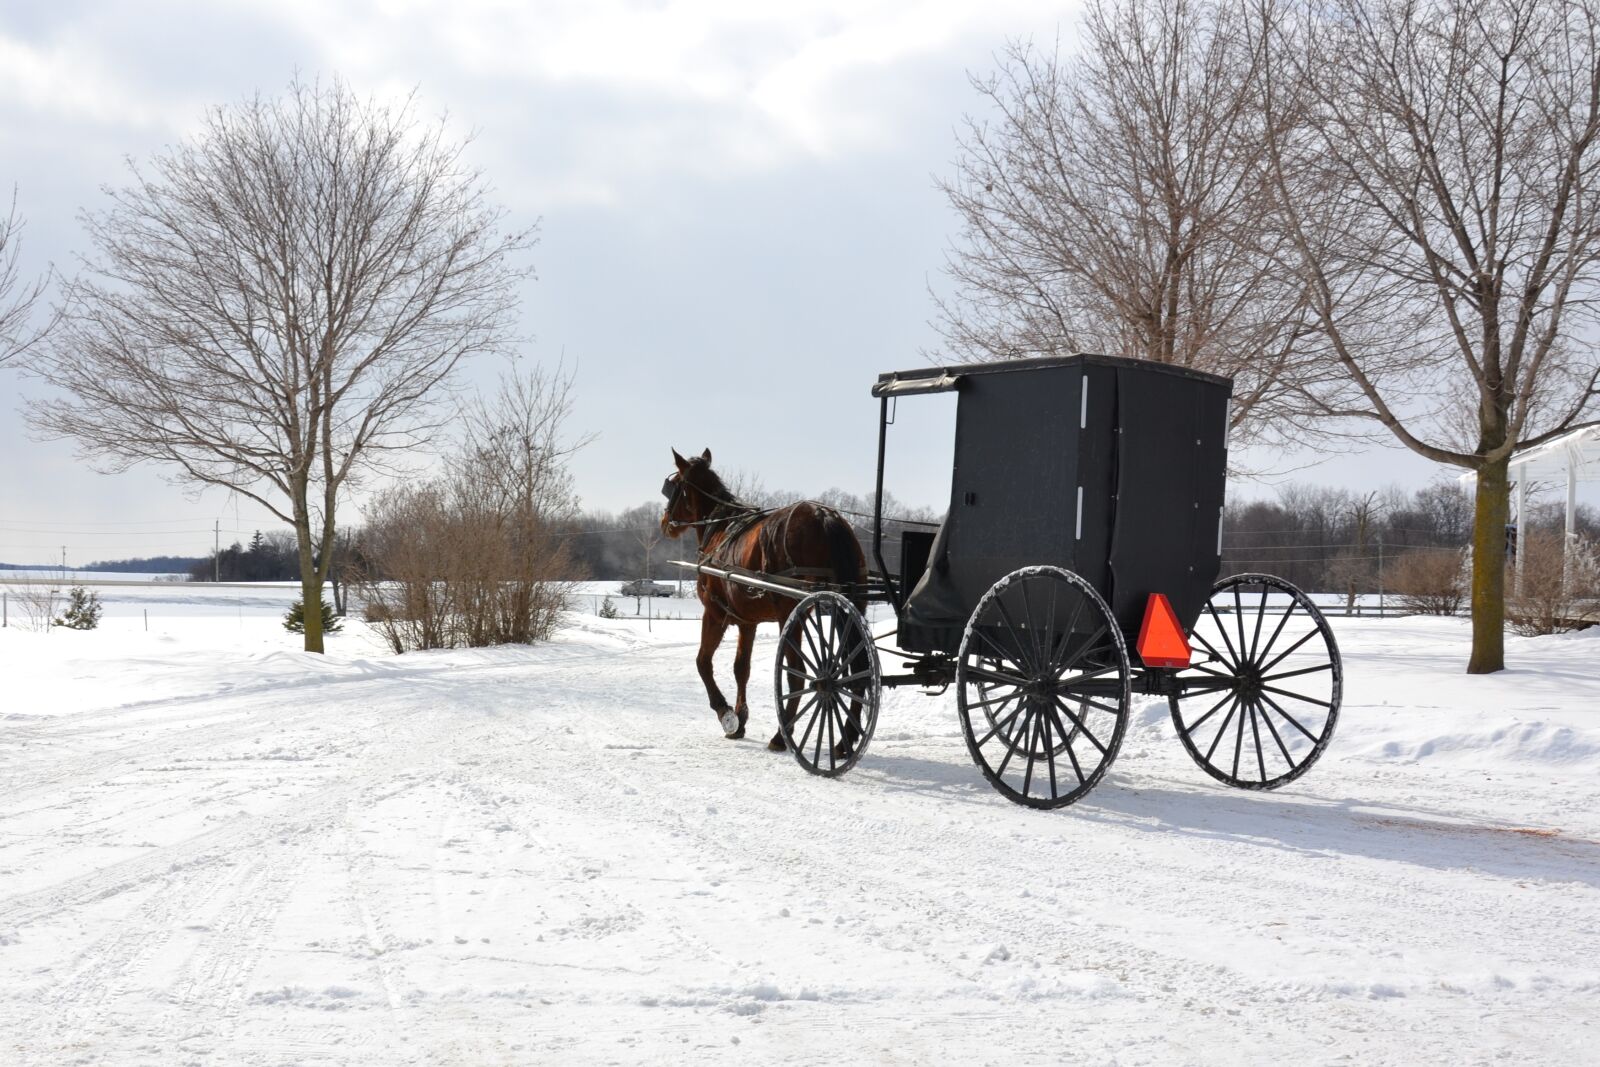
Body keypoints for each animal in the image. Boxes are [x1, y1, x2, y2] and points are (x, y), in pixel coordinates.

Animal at [660, 448, 869, 751]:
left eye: (674, 485)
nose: (664, 523)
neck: (720, 528)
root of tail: (824, 516)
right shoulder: (748, 622)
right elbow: (741, 668)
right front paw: (740, 719)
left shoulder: (714, 613)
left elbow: (703, 662)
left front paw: (726, 714)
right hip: (853, 604)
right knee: (860, 668)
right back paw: (845, 740)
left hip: (792, 612)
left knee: (797, 673)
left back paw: (782, 736)